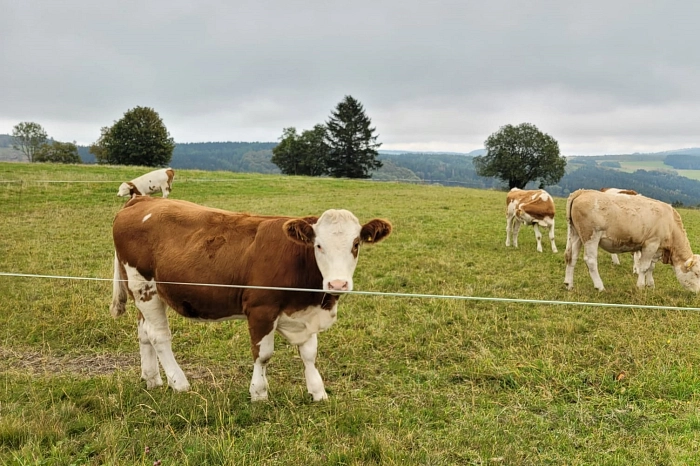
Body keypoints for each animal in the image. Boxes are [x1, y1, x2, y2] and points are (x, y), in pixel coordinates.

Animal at [110, 196, 392, 401]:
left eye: (356, 244)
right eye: (318, 245)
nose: (338, 284)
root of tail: (144, 200)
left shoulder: (304, 314)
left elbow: (309, 353)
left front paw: (317, 391)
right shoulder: (261, 309)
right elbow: (263, 354)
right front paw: (259, 393)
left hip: (143, 291)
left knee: (144, 332)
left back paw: (152, 379)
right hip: (144, 284)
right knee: (158, 336)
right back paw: (179, 382)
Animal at [564, 189, 700, 292]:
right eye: (697, 274)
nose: (698, 293)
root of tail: (582, 192)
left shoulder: (656, 248)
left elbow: (651, 267)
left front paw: (651, 285)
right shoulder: (651, 244)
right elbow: (644, 267)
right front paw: (641, 286)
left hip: (576, 234)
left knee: (571, 257)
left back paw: (569, 284)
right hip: (591, 236)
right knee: (590, 261)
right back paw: (600, 287)